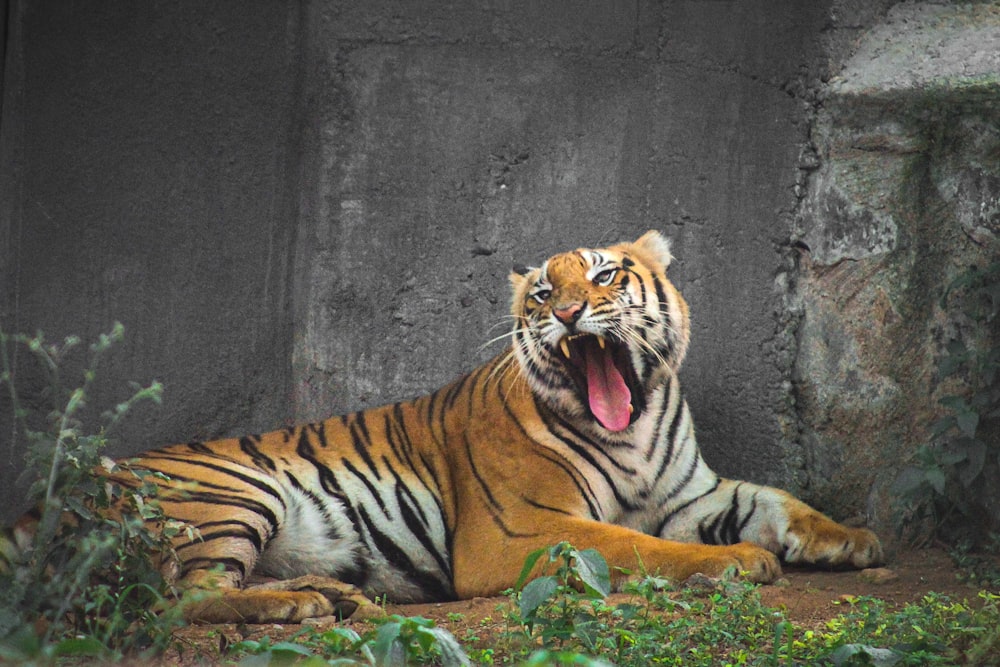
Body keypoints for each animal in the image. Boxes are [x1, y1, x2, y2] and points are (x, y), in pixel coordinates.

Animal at [7, 231, 884, 628]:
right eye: (542, 292)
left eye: (605, 274)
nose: (570, 311)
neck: (631, 430)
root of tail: (64, 488)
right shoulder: (523, 530)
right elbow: (638, 545)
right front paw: (736, 562)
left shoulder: (691, 492)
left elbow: (775, 498)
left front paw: (852, 538)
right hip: (230, 494)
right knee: (168, 599)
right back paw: (300, 607)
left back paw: (328, 593)